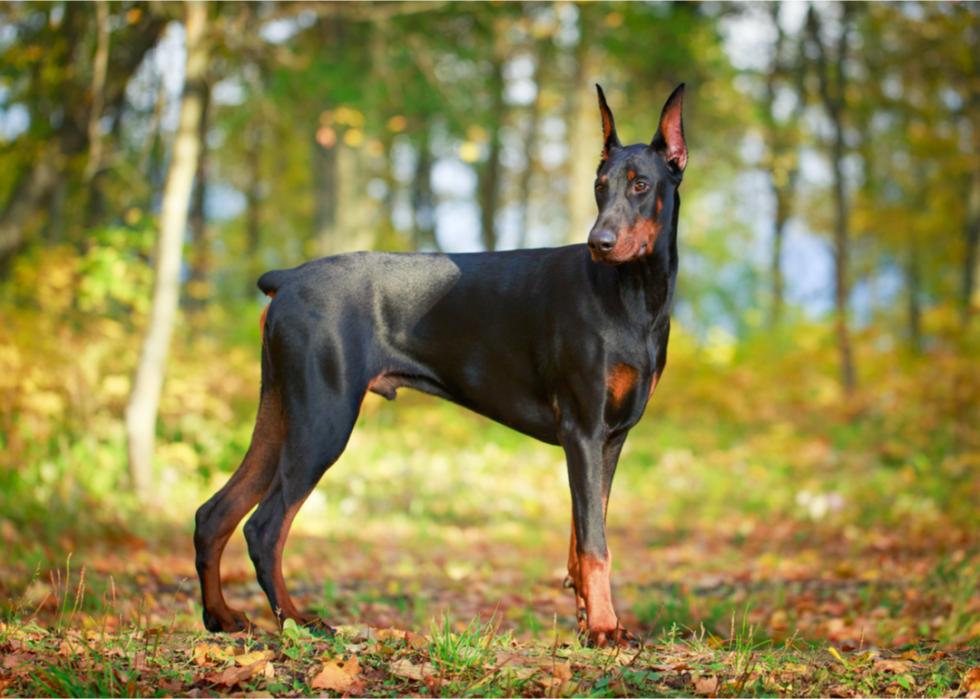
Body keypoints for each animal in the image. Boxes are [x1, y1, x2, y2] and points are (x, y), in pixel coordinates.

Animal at [195, 85, 684, 648]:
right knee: (265, 527)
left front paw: (588, 621)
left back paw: (221, 616)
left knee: (215, 513)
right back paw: (299, 622)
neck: (632, 294)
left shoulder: (611, 437)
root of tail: (288, 278)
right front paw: (604, 627)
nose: (598, 243)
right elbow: (595, 544)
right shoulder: (583, 430)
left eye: (641, 184)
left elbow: (582, 535)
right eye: (600, 187)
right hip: (323, 419)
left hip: (280, 411)